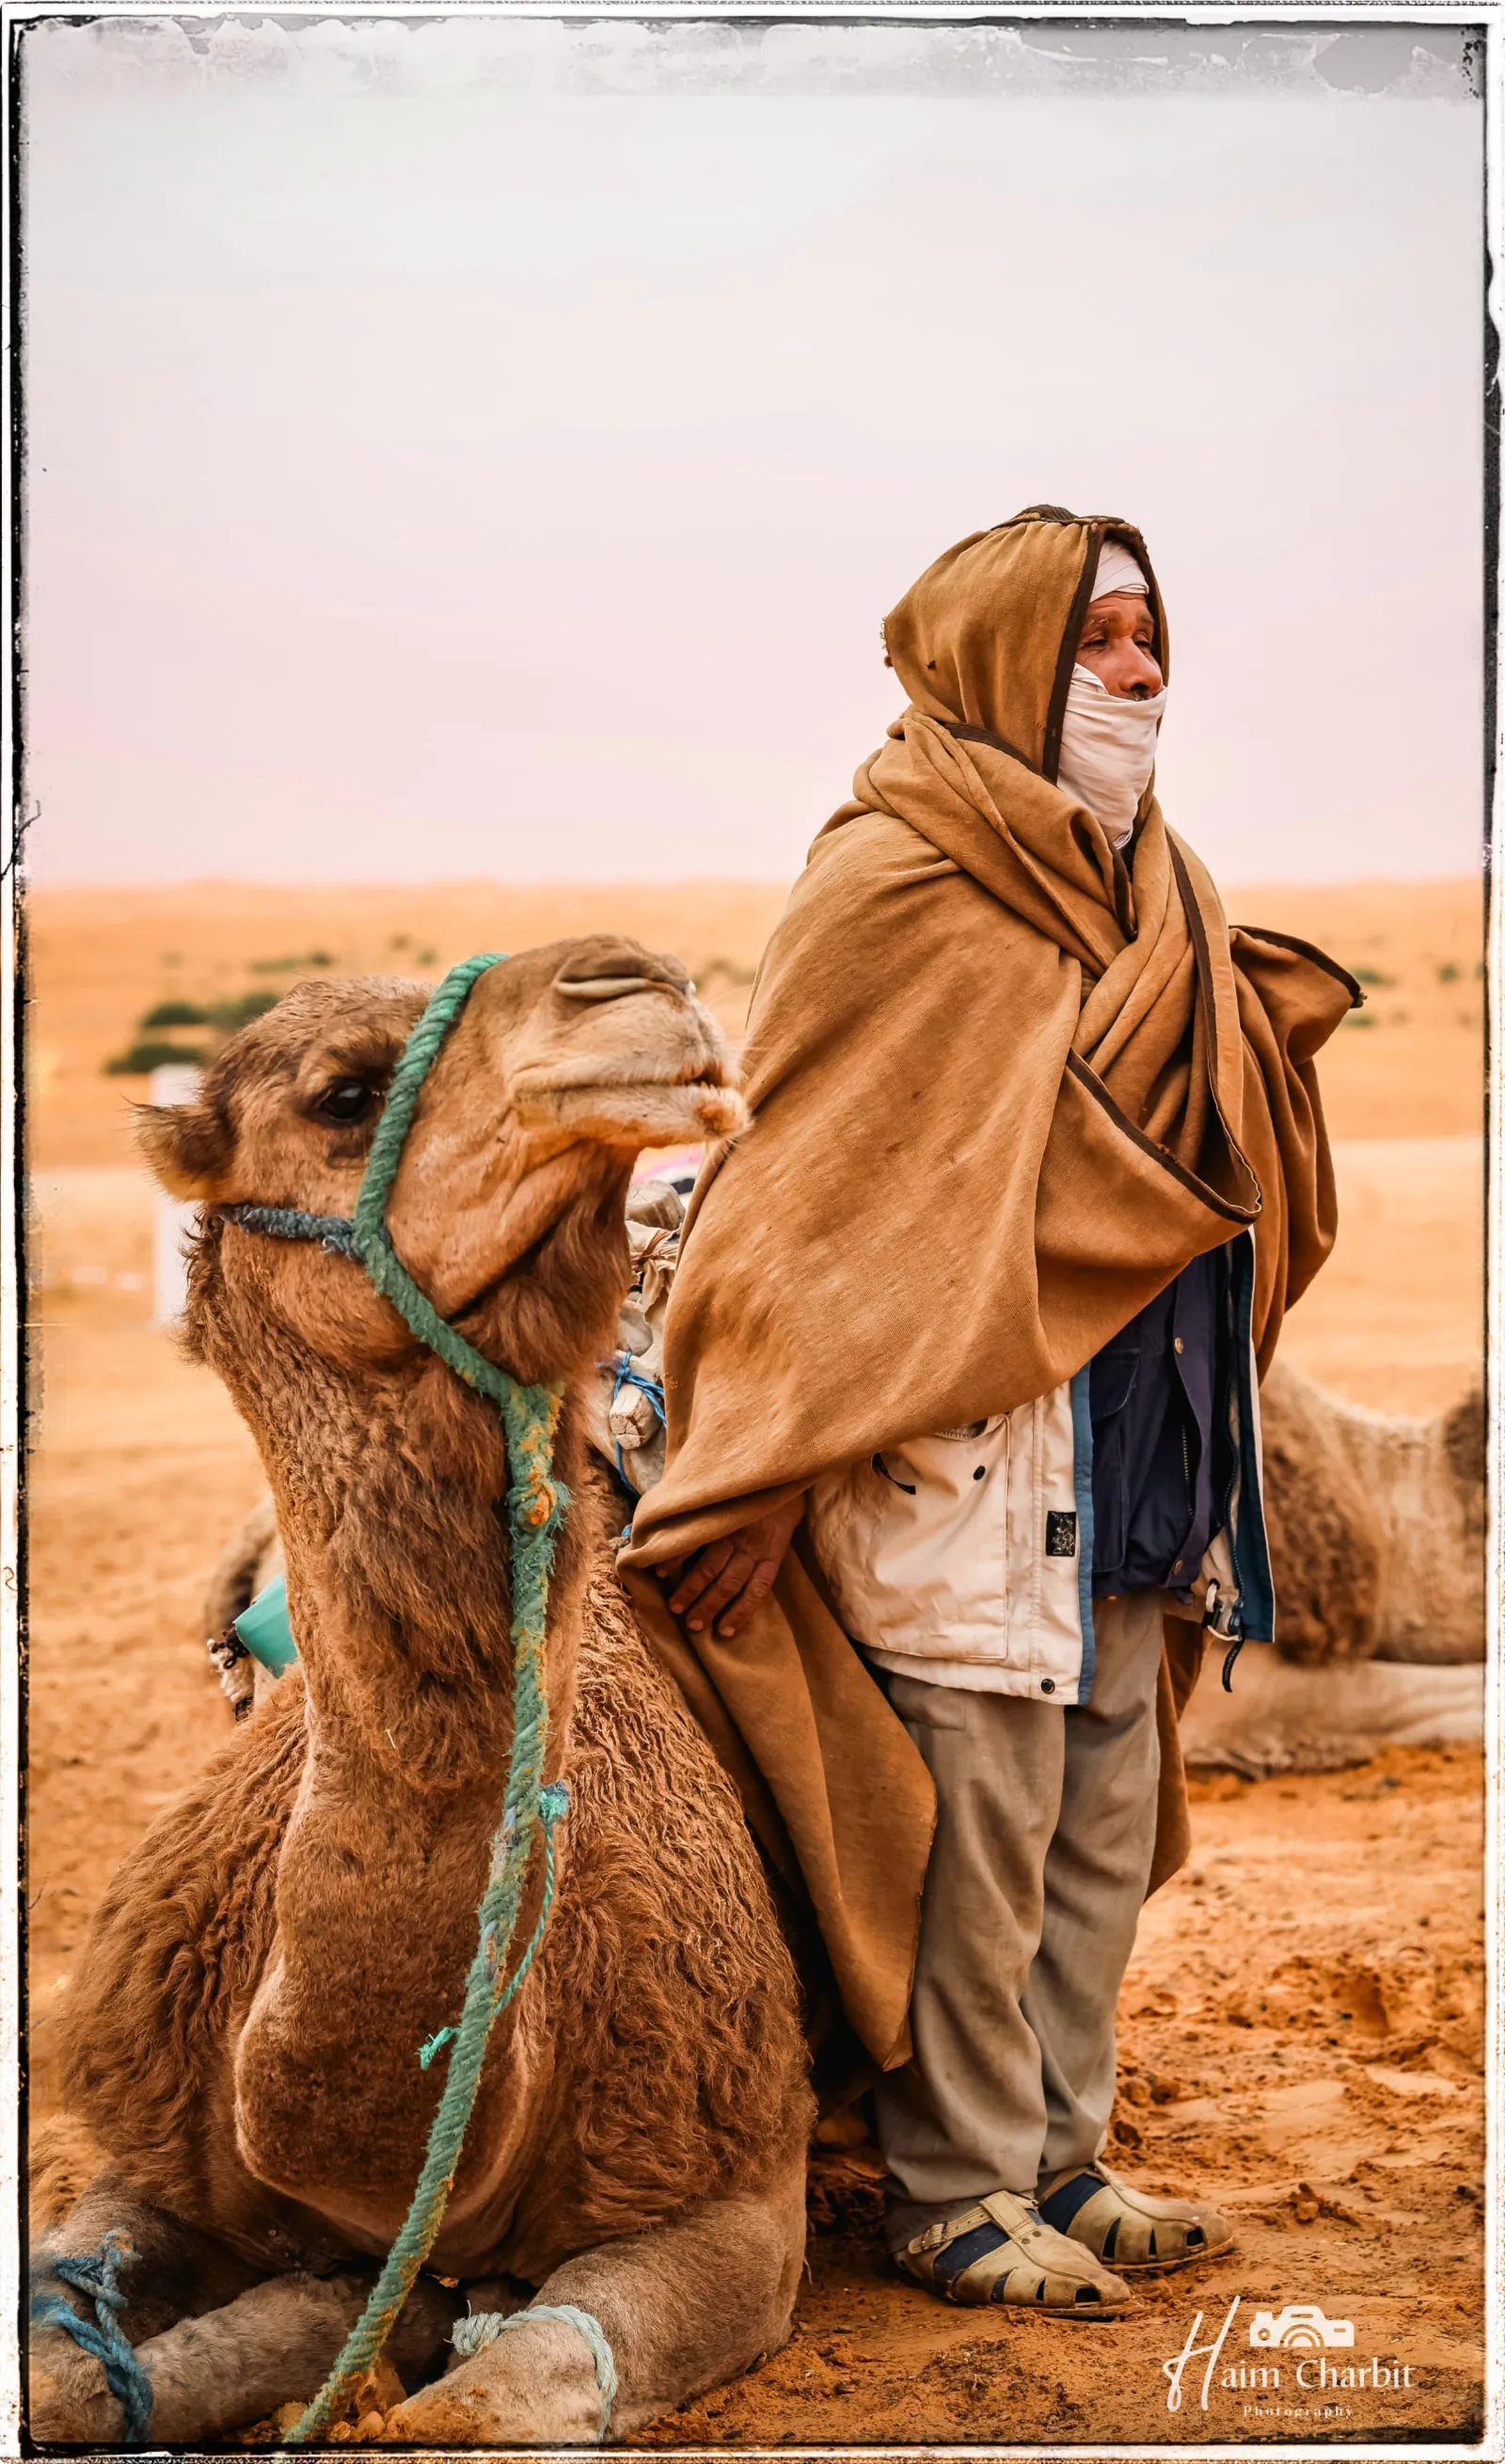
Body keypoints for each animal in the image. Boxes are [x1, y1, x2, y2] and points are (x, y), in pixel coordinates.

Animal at [31, 940, 814, 2449]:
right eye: (343, 1094)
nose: (637, 982)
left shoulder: (737, 2180)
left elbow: (500, 2395)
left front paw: (376, 2329)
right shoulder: (148, 2145)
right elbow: (60, 2365)